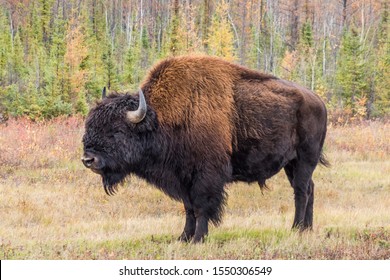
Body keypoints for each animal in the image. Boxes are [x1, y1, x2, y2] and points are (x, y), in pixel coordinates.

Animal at [82, 54, 330, 243]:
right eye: (90, 125)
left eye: (116, 131)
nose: (88, 160)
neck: (161, 119)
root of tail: (318, 101)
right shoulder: (183, 178)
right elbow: (189, 208)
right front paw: (183, 237)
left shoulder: (206, 177)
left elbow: (202, 207)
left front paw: (199, 238)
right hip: (291, 164)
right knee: (310, 189)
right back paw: (307, 228)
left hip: (305, 160)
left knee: (301, 191)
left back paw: (296, 229)